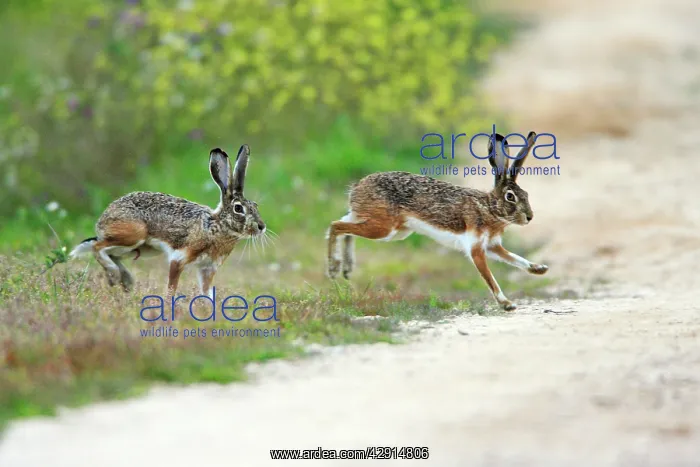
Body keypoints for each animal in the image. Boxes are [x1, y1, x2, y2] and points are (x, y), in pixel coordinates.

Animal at [69, 144, 266, 298]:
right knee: (98, 247)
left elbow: (207, 293)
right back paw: (114, 276)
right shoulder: (179, 258)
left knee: (109, 252)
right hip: (134, 234)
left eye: (256, 205)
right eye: (238, 208)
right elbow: (172, 287)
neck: (216, 226)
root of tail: (103, 220)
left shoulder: (208, 268)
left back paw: (126, 281)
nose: (261, 227)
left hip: (141, 249)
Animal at [326, 131, 548, 311]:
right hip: (384, 228)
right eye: (510, 197)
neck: (489, 209)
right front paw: (507, 304)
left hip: (390, 229)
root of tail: (357, 188)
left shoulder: (492, 246)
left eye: (526, 194)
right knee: (336, 226)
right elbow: (490, 278)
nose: (529, 217)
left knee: (343, 225)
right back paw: (334, 267)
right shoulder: (476, 248)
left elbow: (515, 258)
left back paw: (347, 267)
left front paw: (539, 269)